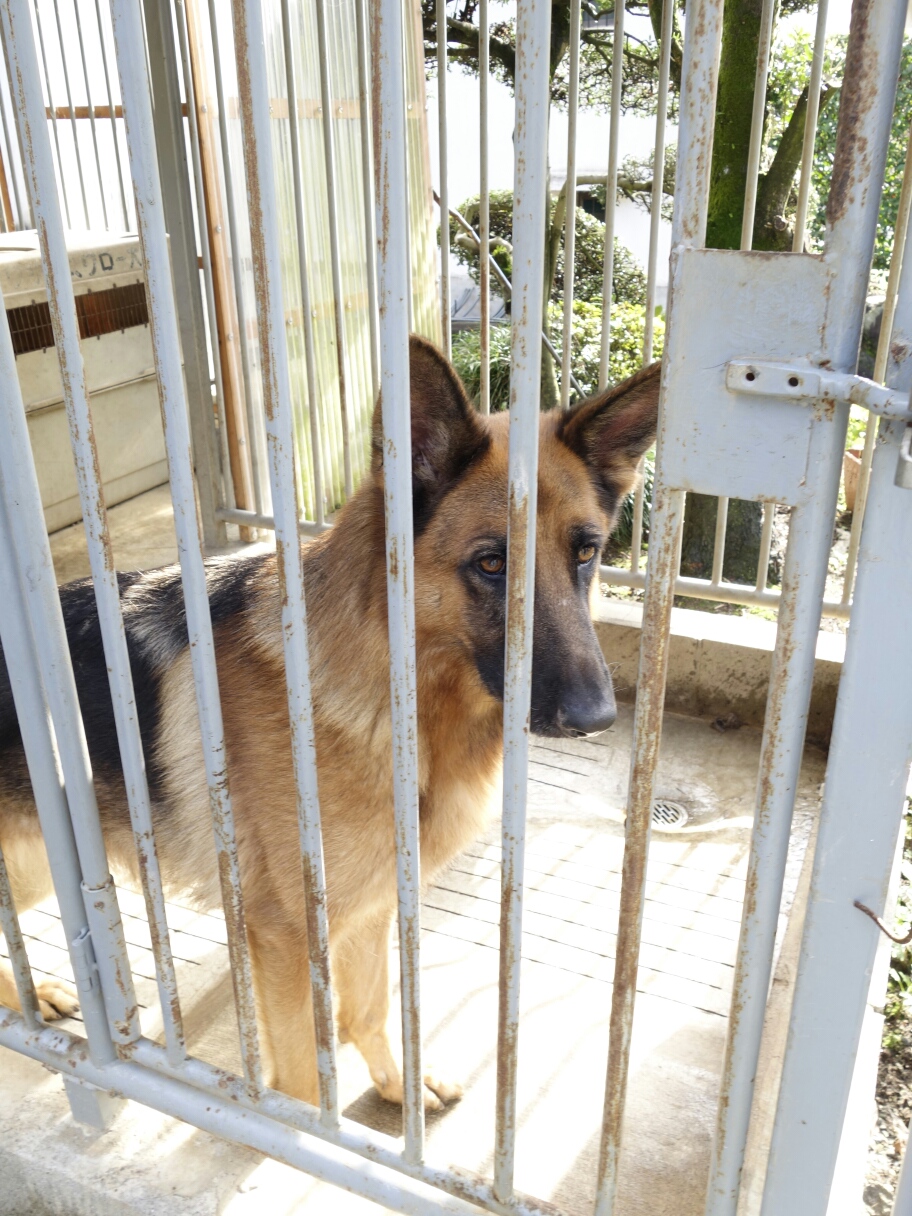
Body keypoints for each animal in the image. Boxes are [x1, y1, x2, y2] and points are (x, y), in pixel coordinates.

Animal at [0, 337, 660, 1107]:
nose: (597, 716)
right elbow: (303, 1089)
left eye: (586, 553)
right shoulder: (287, 939)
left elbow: (368, 1008)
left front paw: (398, 1086)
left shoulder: (370, 904)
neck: (393, 696)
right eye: (493, 564)